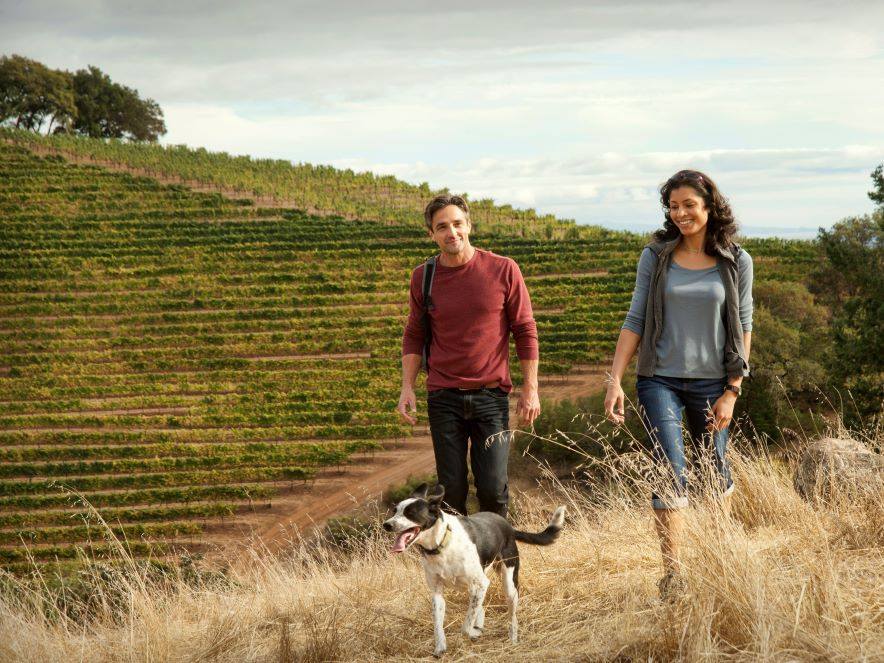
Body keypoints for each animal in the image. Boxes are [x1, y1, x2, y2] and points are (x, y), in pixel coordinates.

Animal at [382, 482, 564, 660]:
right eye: (395, 511)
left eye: (410, 513)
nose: (387, 525)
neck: (442, 543)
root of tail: (508, 526)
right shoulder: (437, 593)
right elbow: (438, 624)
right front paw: (440, 647)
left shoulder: (481, 583)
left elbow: (465, 627)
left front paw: (474, 633)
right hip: (473, 587)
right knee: (479, 608)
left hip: (508, 584)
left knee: (511, 616)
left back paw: (511, 638)